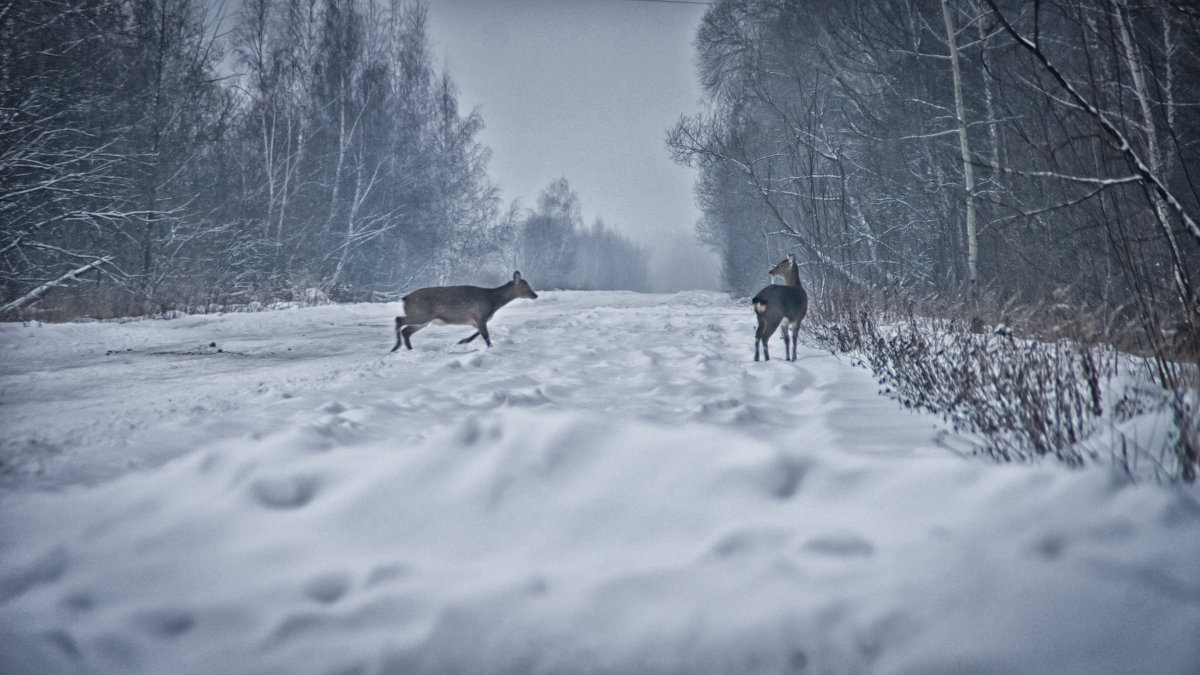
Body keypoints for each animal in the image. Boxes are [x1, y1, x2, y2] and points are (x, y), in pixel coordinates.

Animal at [391, 269, 537, 348]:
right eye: (526, 286)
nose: (535, 295)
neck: (492, 301)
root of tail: (405, 299)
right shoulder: (480, 314)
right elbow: (486, 335)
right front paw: (490, 347)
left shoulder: (475, 319)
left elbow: (478, 333)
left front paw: (463, 341)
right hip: (420, 315)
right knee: (398, 319)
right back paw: (396, 346)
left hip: (422, 320)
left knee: (406, 331)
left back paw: (409, 349)